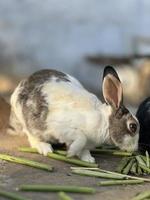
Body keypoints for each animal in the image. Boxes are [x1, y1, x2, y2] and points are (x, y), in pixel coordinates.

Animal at [7, 65, 139, 162]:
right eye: (133, 126)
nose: (135, 149)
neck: (104, 122)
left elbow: (83, 149)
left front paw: (88, 159)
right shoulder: (63, 129)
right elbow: (81, 138)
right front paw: (71, 153)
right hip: (29, 123)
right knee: (32, 137)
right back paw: (45, 148)